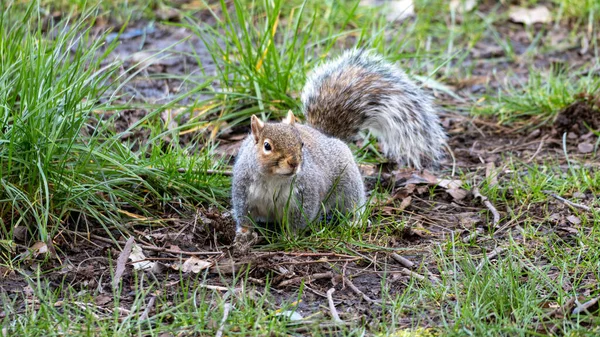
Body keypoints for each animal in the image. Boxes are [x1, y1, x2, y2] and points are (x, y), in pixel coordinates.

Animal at [230, 48, 446, 247]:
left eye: (301, 144)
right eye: (267, 146)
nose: (294, 163)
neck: (273, 179)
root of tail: (326, 135)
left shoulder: (305, 196)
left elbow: (300, 219)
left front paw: (291, 237)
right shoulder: (243, 191)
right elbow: (243, 215)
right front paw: (244, 234)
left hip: (348, 183)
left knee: (353, 202)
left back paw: (356, 221)